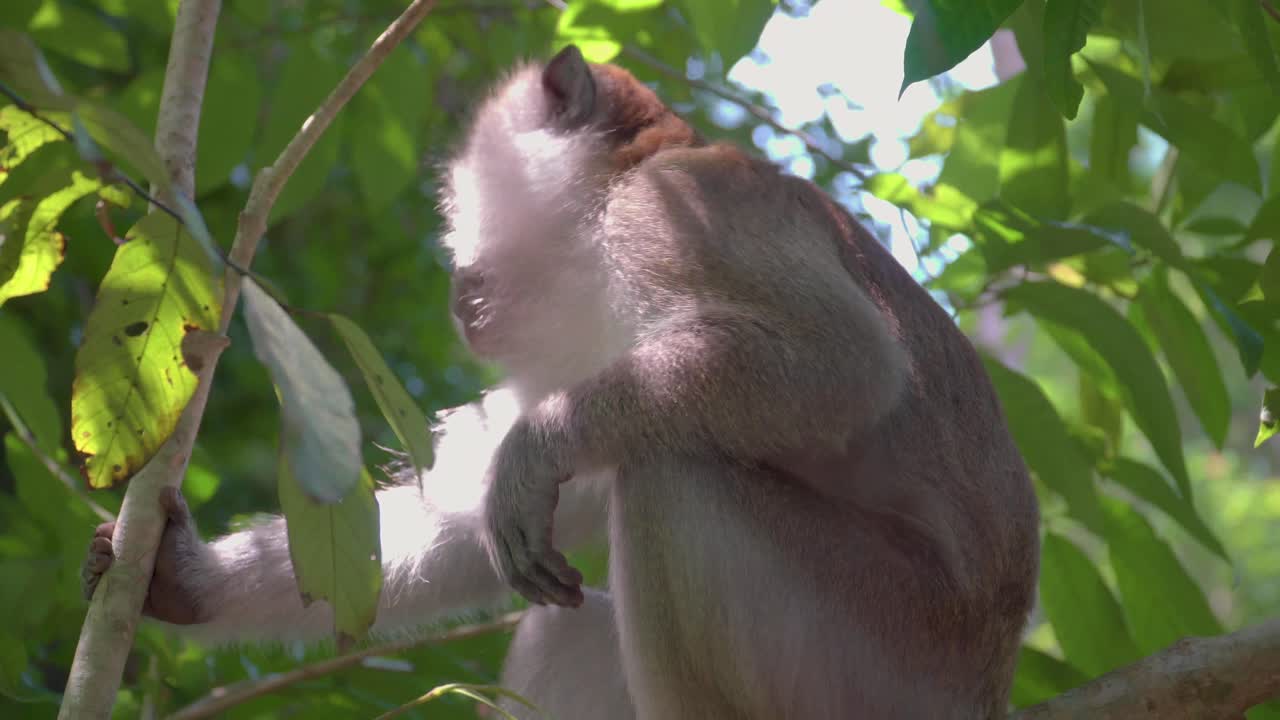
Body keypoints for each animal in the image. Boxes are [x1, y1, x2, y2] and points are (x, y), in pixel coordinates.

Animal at [85, 45, 1040, 719]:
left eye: (458, 204)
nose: (453, 284)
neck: (608, 203)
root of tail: (987, 686)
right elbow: (471, 525)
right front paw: (186, 578)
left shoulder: (676, 213)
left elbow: (845, 362)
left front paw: (538, 445)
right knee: (575, 616)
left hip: (880, 655)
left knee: (673, 473)